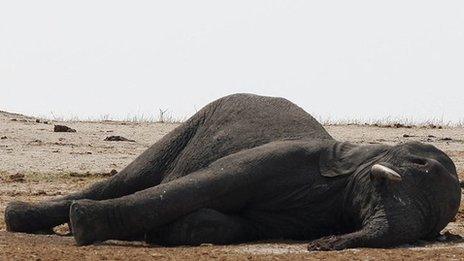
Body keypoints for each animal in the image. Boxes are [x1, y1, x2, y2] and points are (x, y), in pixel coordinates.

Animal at [3, 93, 460, 250]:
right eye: (419, 163)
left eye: (430, 231)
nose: (321, 246)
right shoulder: (282, 157)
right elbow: (204, 185)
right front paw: (82, 224)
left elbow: (220, 222)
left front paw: (160, 234)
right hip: (191, 124)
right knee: (128, 179)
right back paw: (25, 218)